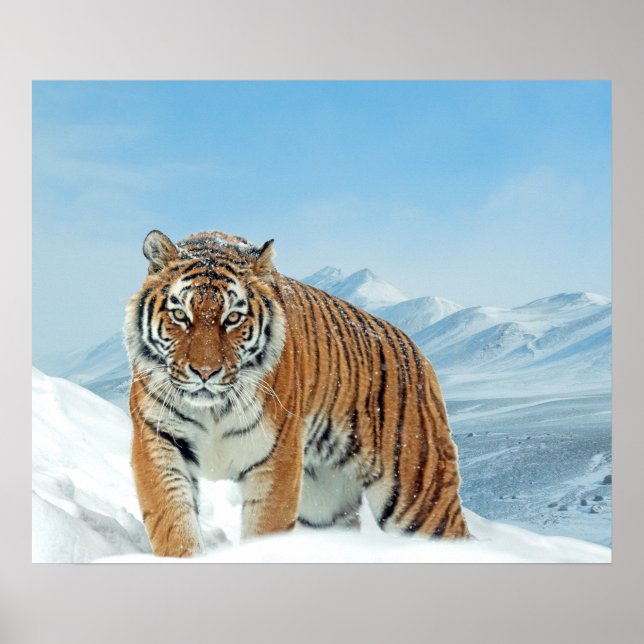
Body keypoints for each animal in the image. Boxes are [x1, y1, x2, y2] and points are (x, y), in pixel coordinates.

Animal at [124, 228, 469, 557]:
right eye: (180, 315)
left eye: (232, 318)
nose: (205, 372)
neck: (213, 409)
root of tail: (418, 351)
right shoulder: (158, 440)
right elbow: (173, 523)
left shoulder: (277, 458)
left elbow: (265, 529)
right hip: (324, 504)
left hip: (418, 494)